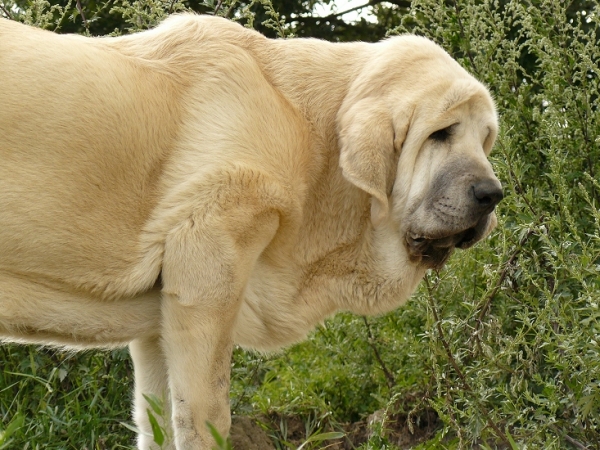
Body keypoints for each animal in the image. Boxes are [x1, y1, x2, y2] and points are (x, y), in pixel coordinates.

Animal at [1, 14, 502, 450]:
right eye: (441, 133)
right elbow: (204, 418)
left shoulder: (157, 326)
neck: (308, 132)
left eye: (485, 139)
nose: (492, 194)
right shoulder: (205, 279)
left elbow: (157, 424)